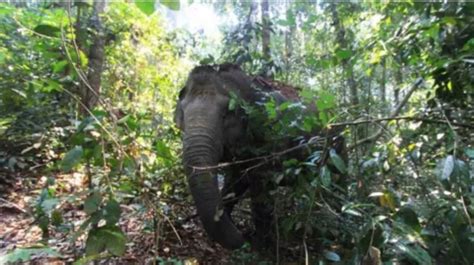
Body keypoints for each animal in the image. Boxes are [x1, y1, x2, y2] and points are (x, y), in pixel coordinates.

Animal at [174, 63, 344, 249]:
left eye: (228, 113)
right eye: (182, 113)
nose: (242, 237)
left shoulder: (272, 135)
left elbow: (262, 190)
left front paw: (261, 245)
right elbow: (235, 182)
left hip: (337, 143)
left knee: (339, 180)